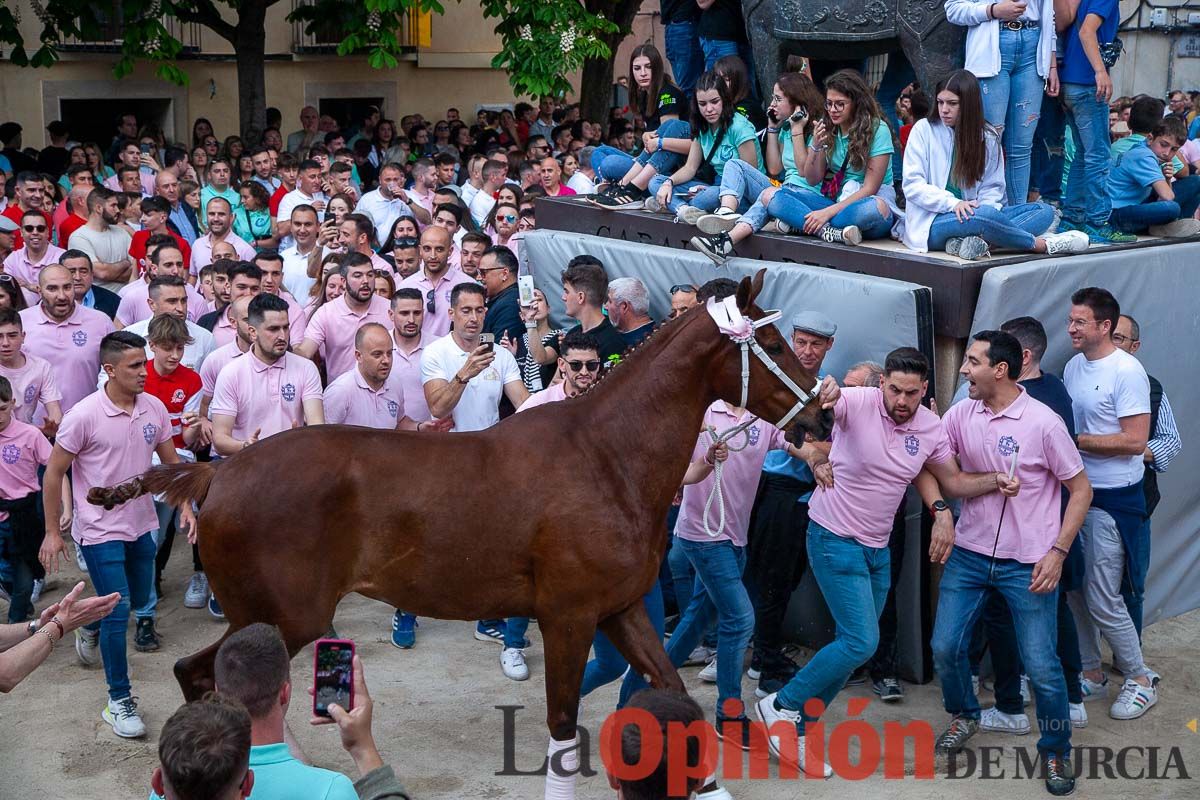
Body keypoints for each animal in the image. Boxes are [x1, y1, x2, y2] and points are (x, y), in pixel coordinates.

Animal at [93, 271, 830, 782]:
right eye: (769, 340)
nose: (823, 416)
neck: (606, 457)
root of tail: (217, 475)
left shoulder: (620, 609)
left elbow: (669, 690)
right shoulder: (568, 617)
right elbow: (563, 725)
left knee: (200, 676)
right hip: (283, 615)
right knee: (202, 673)